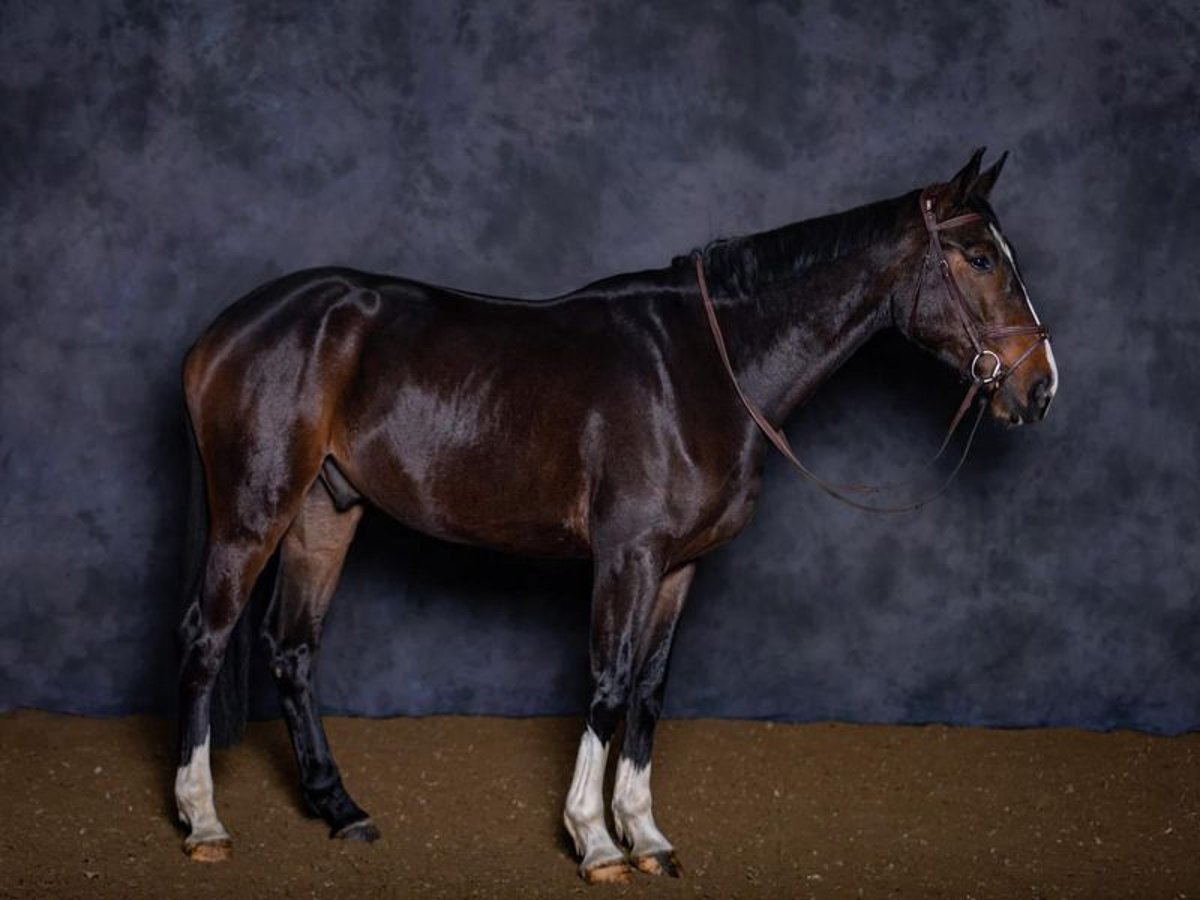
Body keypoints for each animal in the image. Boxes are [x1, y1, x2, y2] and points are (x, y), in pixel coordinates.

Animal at [174, 151, 1056, 883]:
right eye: (979, 258)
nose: (1039, 386)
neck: (707, 369)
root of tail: (225, 330)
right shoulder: (628, 554)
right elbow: (608, 681)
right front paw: (595, 841)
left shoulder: (679, 565)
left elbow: (651, 690)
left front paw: (647, 836)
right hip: (253, 510)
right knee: (207, 640)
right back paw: (204, 822)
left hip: (326, 509)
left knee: (292, 649)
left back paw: (341, 809)